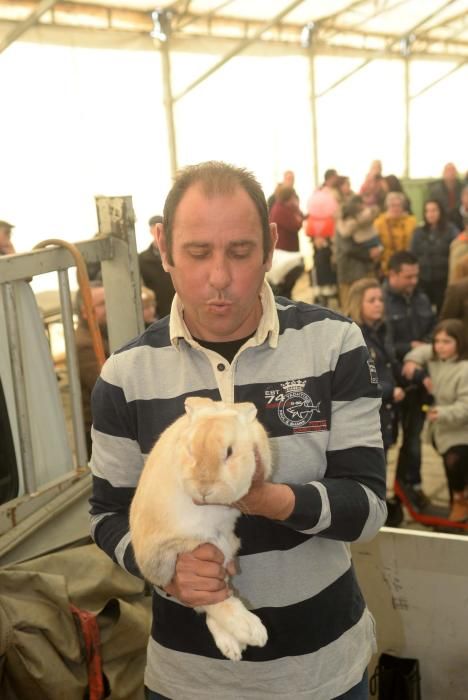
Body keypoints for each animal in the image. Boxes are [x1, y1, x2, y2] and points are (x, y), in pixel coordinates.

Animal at [130, 396, 272, 660]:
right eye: (190, 450)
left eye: (229, 452)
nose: (204, 489)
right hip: (190, 548)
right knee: (210, 601)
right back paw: (250, 632)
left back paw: (234, 645)